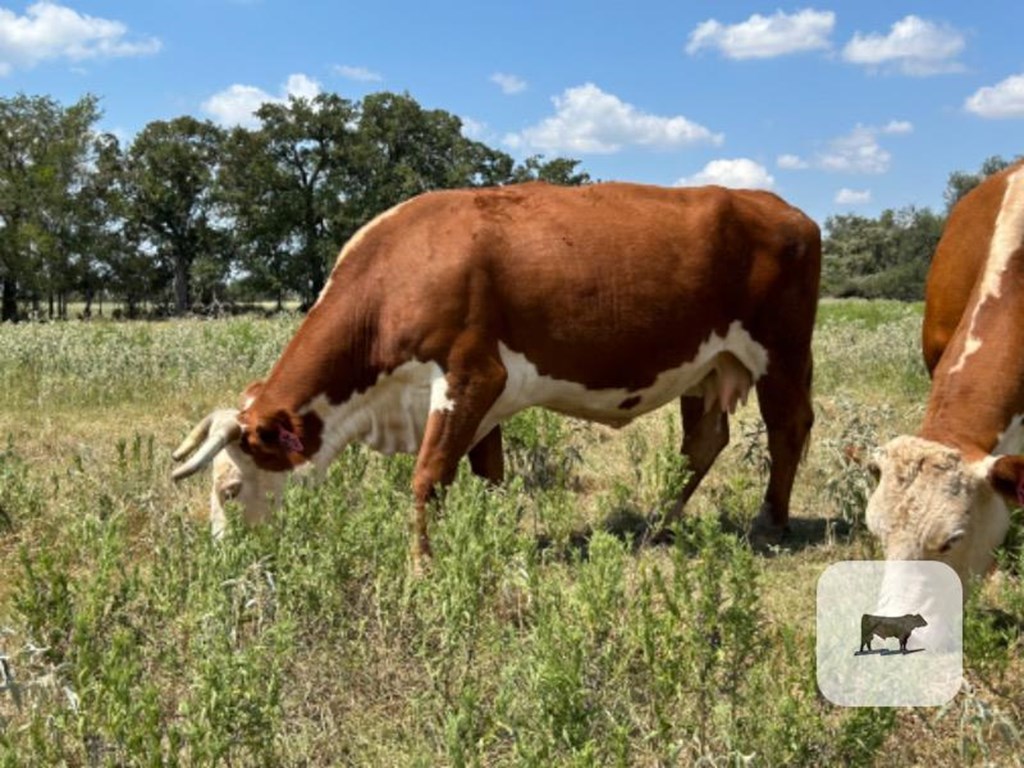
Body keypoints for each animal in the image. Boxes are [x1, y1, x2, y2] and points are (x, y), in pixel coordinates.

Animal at [172, 182, 819, 573]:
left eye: (229, 490)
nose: (219, 561)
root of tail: (780, 206)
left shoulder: (470, 375)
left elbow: (428, 478)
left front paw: (421, 566)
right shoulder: (486, 399)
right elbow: (486, 476)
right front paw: (488, 538)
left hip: (782, 351)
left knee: (789, 427)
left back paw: (769, 523)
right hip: (706, 366)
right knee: (703, 442)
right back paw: (658, 521)